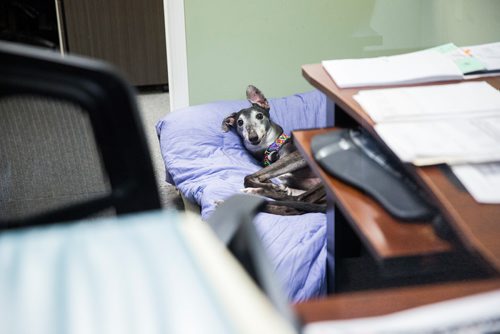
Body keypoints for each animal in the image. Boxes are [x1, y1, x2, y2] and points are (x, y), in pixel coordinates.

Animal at [221, 84, 326, 214]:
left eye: (259, 115)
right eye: (240, 122)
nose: (253, 137)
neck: (273, 148)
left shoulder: (298, 156)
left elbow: (249, 177)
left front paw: (271, 187)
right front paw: (272, 186)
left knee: (300, 200)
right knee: (293, 206)